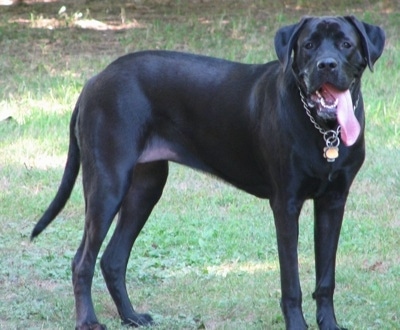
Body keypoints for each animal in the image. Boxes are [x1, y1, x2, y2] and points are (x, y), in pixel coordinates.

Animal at [32, 16, 384, 330]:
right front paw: (297, 325)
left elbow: (326, 278)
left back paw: (131, 317)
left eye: (346, 44)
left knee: (112, 259)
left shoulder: (333, 202)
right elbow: (291, 282)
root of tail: (95, 79)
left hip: (145, 188)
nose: (326, 65)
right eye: (309, 45)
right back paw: (88, 321)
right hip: (108, 184)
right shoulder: (286, 204)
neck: (325, 132)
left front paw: (330, 325)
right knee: (83, 260)